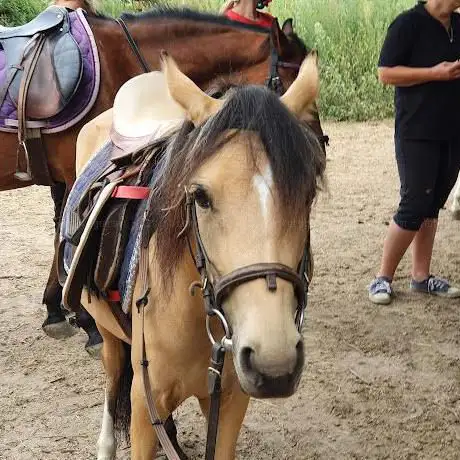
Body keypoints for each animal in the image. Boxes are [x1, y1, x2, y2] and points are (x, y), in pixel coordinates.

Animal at [0, 1, 328, 352]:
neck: (117, 53)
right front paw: (84, 320)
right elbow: (69, 229)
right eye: (291, 83)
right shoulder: (72, 172)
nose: (319, 149)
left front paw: (57, 309)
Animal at [71, 52, 324, 460]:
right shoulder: (144, 405)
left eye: (307, 194)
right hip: (108, 337)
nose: (274, 361)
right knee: (112, 381)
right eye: (201, 196)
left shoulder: (230, 400)